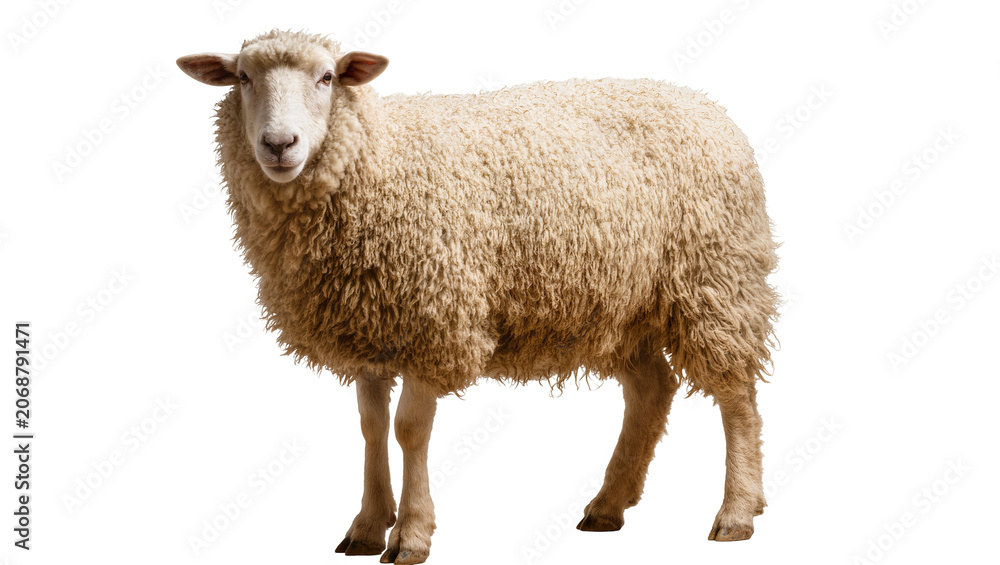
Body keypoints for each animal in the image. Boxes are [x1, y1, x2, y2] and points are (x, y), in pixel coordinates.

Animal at [178, 29, 780, 563]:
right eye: (243, 77)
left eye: (327, 77)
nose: (279, 145)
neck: (379, 159)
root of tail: (707, 105)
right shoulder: (370, 328)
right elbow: (371, 429)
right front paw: (368, 527)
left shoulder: (435, 320)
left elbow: (409, 430)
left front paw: (411, 535)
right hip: (622, 305)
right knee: (652, 388)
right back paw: (609, 505)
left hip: (715, 281)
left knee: (737, 397)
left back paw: (736, 512)